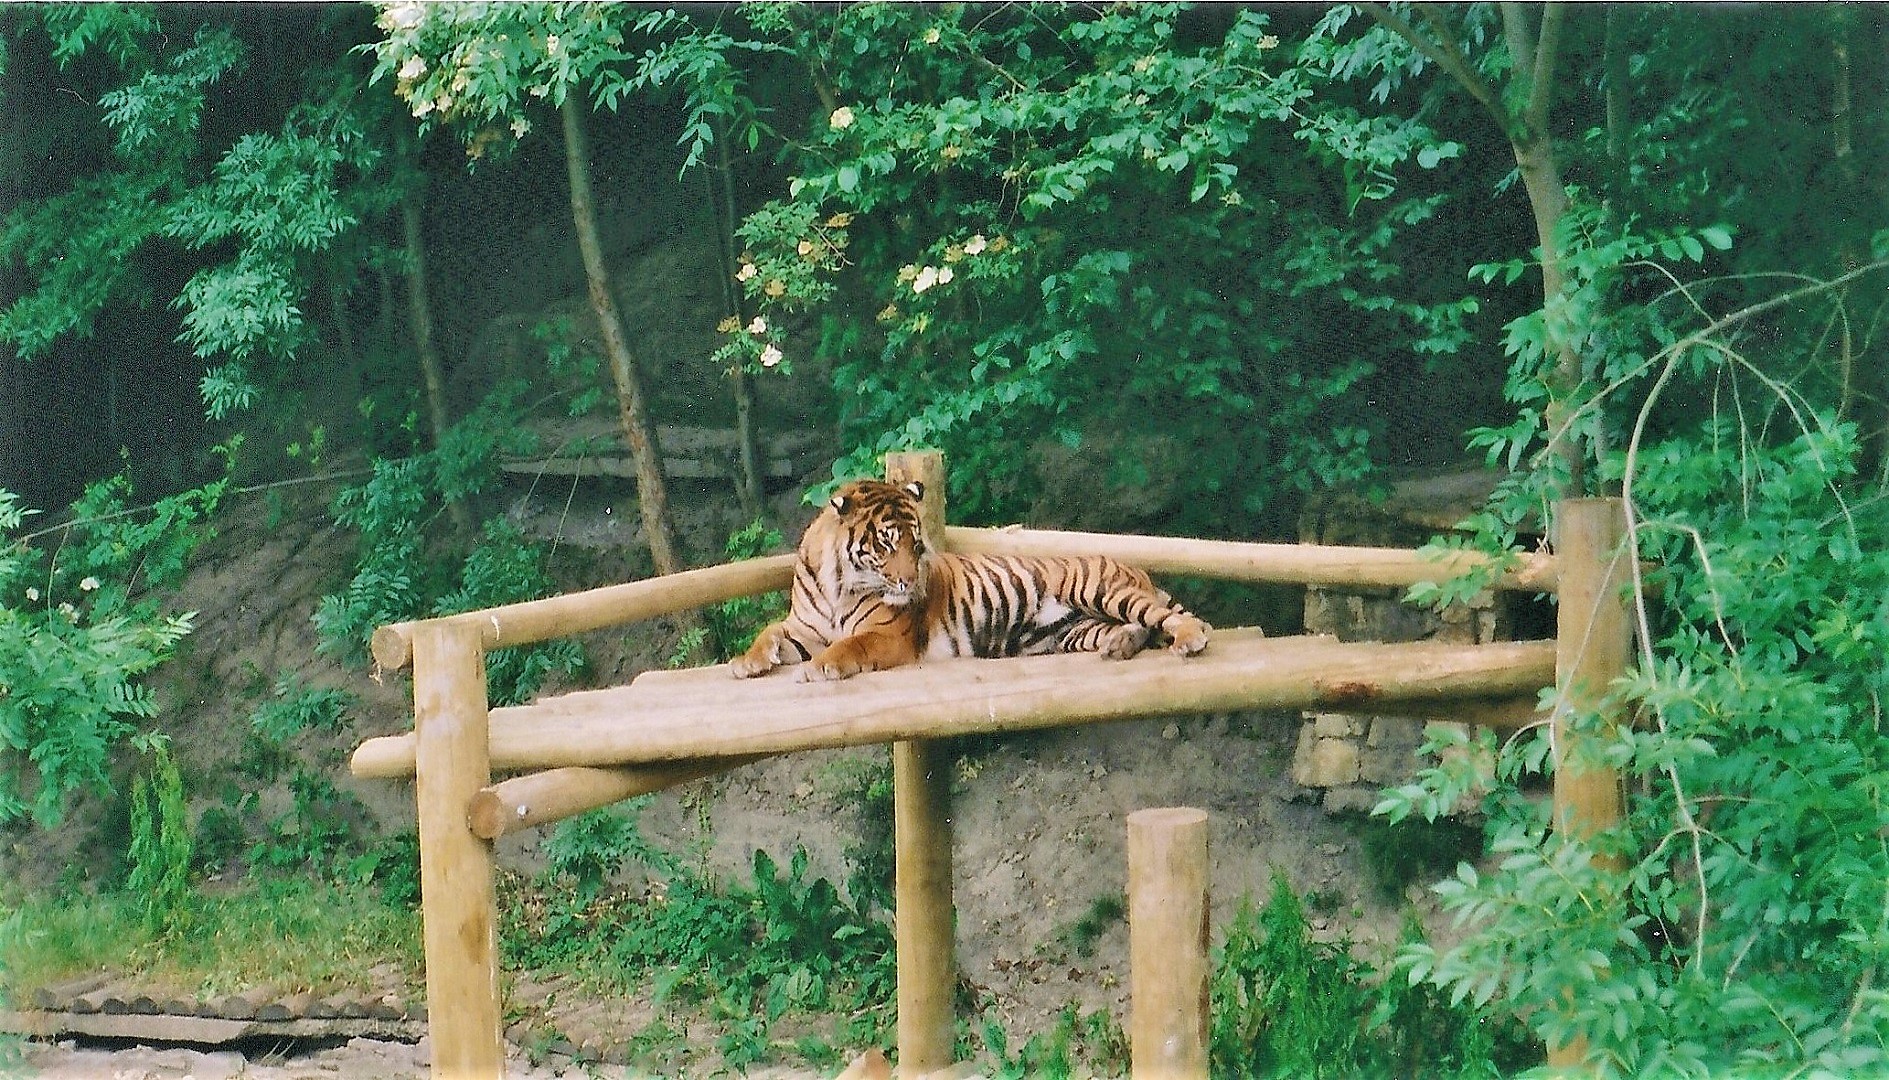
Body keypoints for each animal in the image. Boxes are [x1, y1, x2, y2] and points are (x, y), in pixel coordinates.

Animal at [730, 478, 1214, 682]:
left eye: (916, 545)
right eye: (886, 543)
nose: (909, 584)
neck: (837, 583)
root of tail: (1139, 570)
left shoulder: (888, 634)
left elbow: (851, 645)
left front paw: (821, 666)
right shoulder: (803, 628)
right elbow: (768, 632)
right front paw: (747, 662)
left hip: (1099, 589)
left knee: (1161, 617)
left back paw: (1191, 639)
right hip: (1076, 630)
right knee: (1136, 628)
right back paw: (1119, 645)